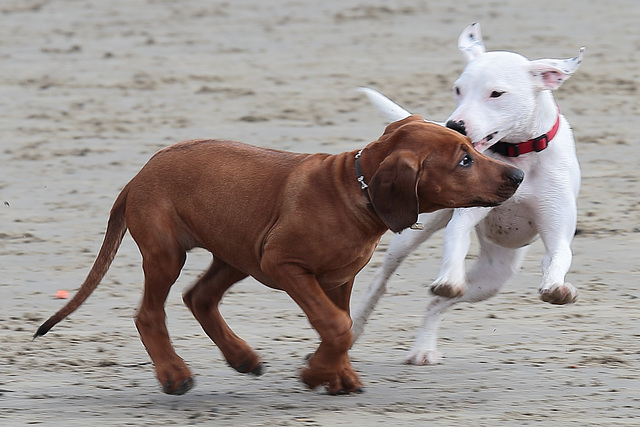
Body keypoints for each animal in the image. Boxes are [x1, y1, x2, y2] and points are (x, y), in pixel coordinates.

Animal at [35, 115, 524, 396]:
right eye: (463, 161)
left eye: (472, 149)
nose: (518, 175)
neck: (355, 189)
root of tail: (137, 176)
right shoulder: (285, 266)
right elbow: (337, 326)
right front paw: (315, 374)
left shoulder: (338, 279)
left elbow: (342, 325)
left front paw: (337, 375)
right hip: (169, 252)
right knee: (149, 314)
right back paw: (174, 374)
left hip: (236, 251)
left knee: (199, 298)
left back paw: (241, 357)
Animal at [352, 22, 588, 364]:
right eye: (458, 89)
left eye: (496, 93)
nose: (455, 126)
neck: (516, 154)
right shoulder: (464, 216)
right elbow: (455, 239)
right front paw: (449, 277)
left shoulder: (557, 228)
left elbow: (559, 255)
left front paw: (557, 288)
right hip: (410, 237)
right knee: (380, 281)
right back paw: (358, 325)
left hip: (491, 280)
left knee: (437, 303)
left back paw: (423, 348)